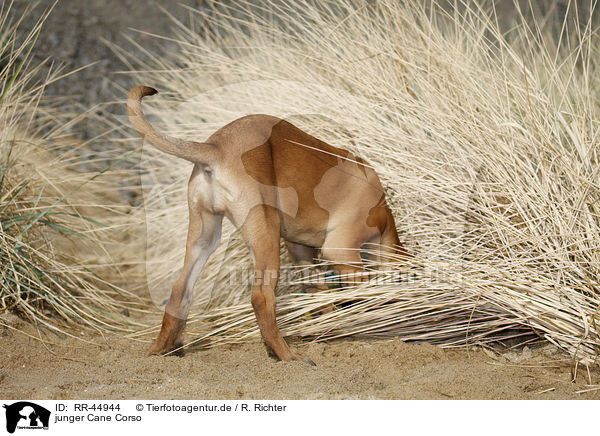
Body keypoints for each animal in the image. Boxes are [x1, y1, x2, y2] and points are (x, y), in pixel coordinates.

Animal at [126, 85, 408, 364]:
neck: (383, 216)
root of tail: (216, 147)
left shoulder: (301, 251)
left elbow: (319, 293)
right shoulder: (341, 251)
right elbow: (357, 296)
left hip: (204, 236)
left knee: (179, 292)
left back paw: (160, 350)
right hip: (265, 233)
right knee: (262, 297)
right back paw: (286, 354)